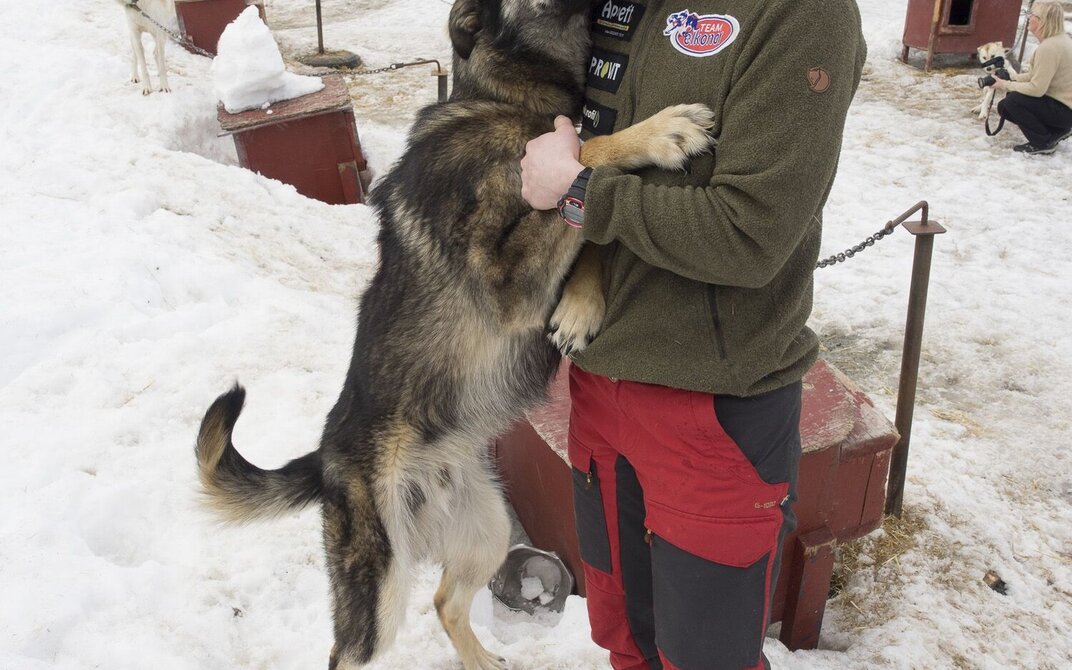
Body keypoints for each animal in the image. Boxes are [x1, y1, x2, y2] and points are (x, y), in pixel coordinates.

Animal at [198, 1, 716, 668]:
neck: (508, 97)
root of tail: (326, 460)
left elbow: (591, 219)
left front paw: (581, 306)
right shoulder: (505, 276)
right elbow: (584, 151)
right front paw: (661, 132)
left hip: (487, 530)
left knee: (445, 601)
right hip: (379, 584)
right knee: (349, 649)